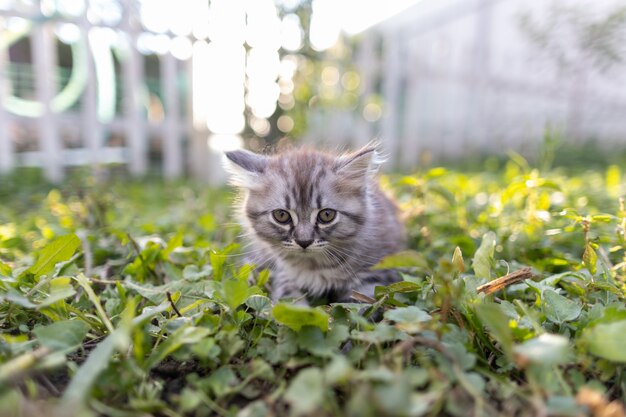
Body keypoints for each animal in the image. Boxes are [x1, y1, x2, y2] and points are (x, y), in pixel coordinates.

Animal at [224, 143, 404, 302]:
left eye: (327, 215)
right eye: (281, 215)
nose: (304, 242)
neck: (313, 266)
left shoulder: (375, 273)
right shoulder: (283, 275)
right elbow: (289, 300)